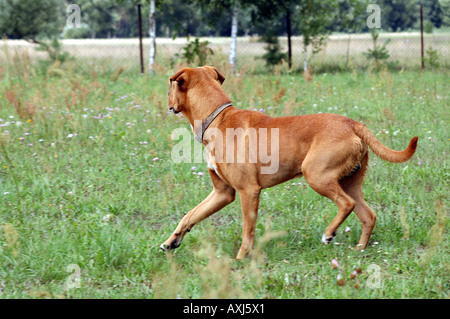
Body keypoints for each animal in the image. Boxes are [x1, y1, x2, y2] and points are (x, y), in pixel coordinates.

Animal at [160, 65, 416, 260]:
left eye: (171, 87)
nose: (168, 103)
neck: (217, 119)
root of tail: (353, 124)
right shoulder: (223, 193)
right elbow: (190, 215)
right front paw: (172, 241)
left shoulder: (248, 191)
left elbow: (247, 232)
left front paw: (241, 260)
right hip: (349, 182)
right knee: (368, 215)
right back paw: (359, 249)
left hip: (316, 175)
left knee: (347, 204)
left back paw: (329, 233)